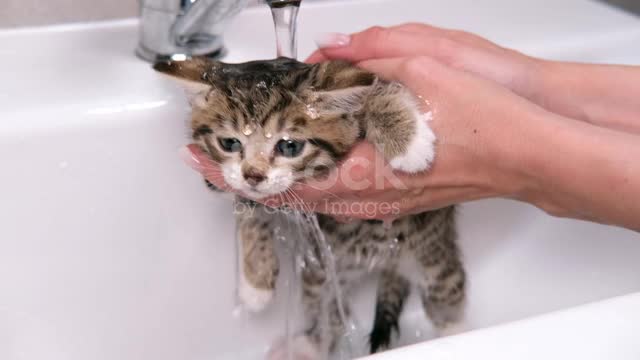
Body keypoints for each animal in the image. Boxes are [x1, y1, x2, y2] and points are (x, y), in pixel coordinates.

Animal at [155, 58, 464, 358]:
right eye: (229, 143)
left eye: (289, 146)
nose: (253, 175)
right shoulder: (224, 181)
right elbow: (247, 206)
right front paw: (255, 281)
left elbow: (377, 89)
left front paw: (408, 142)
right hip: (326, 270)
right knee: (327, 308)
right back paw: (309, 345)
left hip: (433, 257)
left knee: (448, 291)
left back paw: (455, 335)